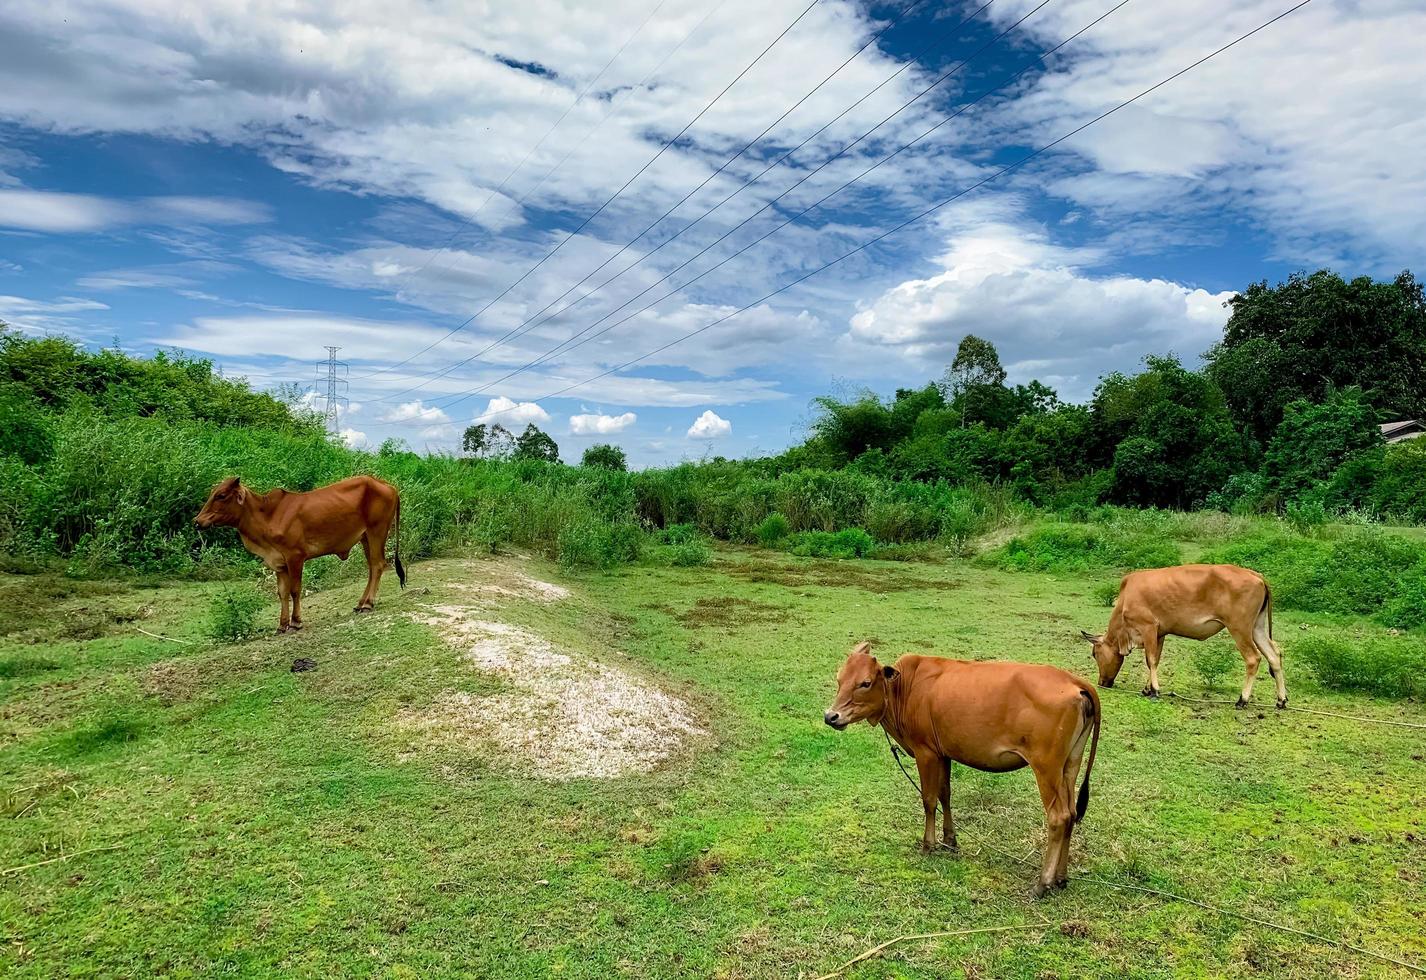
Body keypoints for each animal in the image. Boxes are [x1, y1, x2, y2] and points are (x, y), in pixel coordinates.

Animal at [192, 476, 404, 636]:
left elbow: (295, 590)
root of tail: (388, 486)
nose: (197, 521)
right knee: (372, 567)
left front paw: (295, 622)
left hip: (377, 531)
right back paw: (361, 603)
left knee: (378, 565)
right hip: (365, 537)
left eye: (221, 495)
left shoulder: (295, 557)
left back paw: (368, 604)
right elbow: (282, 593)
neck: (267, 516)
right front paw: (281, 625)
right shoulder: (279, 562)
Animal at [827, 639, 1100, 901]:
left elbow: (928, 799)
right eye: (840, 679)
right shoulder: (943, 753)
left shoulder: (926, 753)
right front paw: (950, 840)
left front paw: (928, 844)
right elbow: (944, 795)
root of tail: (1074, 681)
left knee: (1059, 817)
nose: (830, 716)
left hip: (1046, 768)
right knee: (1072, 814)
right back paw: (1061, 877)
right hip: (1070, 765)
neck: (905, 688)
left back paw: (1043, 883)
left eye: (865, 683)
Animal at [1078, 564, 1294, 710]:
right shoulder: (1160, 633)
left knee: (1253, 658)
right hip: (1257, 628)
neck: (1126, 599)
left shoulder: (1148, 627)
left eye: (1094, 654)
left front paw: (1154, 691)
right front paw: (1148, 688)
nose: (1102, 683)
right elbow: (1155, 660)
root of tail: (1256, 575)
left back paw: (1242, 700)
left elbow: (1150, 660)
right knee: (1274, 655)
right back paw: (1281, 700)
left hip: (1239, 628)